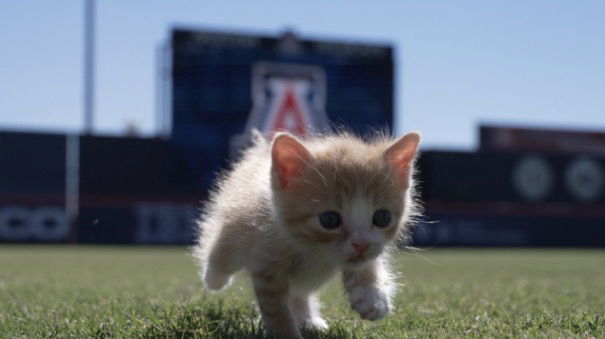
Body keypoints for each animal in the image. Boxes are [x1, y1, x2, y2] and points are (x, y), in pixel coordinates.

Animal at [193, 131, 420, 339]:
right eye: (329, 220)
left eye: (382, 217)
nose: (361, 244)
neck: (313, 249)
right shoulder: (266, 263)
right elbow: (276, 310)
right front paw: (286, 334)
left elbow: (366, 263)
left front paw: (373, 297)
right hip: (234, 232)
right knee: (221, 253)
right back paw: (213, 277)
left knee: (298, 291)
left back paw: (308, 319)